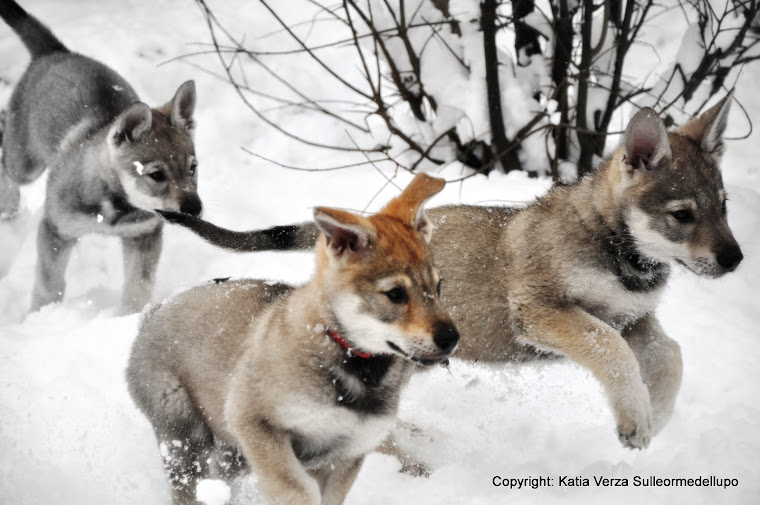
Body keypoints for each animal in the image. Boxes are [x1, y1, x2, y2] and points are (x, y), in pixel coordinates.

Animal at [0, 0, 200, 312]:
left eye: (193, 168)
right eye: (156, 175)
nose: (195, 209)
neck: (116, 205)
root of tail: (54, 51)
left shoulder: (143, 236)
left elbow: (137, 287)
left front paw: (129, 316)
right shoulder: (56, 231)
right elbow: (49, 285)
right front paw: (41, 314)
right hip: (26, 162)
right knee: (5, 157)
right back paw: (8, 203)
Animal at [126, 174, 458, 504]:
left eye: (439, 286)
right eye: (396, 294)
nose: (452, 338)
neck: (346, 358)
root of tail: (154, 312)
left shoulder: (346, 454)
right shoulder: (255, 422)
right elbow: (293, 489)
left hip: (231, 451)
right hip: (183, 431)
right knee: (186, 485)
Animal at [159, 94, 744, 448]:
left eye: (723, 206)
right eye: (683, 215)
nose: (735, 260)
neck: (615, 250)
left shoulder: (634, 318)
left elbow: (669, 355)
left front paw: (655, 417)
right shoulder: (545, 312)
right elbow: (613, 352)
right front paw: (635, 419)